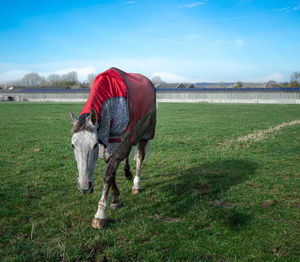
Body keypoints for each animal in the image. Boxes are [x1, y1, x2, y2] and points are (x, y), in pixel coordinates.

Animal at [68, 68, 157, 229]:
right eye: (73, 145)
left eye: (94, 144)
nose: (84, 187)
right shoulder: (111, 145)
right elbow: (112, 173)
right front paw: (116, 200)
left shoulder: (117, 144)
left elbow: (108, 176)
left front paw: (100, 214)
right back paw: (127, 173)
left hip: (145, 133)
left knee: (139, 157)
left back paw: (136, 185)